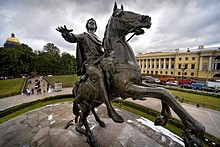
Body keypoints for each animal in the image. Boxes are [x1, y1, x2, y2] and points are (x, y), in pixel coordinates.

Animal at [72, 2, 205, 147]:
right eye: (120, 14)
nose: (147, 18)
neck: (120, 57)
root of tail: (75, 88)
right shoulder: (125, 89)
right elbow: (161, 92)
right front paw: (194, 130)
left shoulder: (138, 83)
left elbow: (164, 91)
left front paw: (165, 119)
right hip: (85, 103)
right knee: (83, 117)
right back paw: (91, 134)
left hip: (95, 102)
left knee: (86, 115)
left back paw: (97, 124)